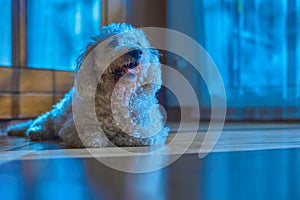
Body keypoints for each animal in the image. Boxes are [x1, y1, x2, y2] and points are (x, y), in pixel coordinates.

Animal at [6, 23, 169, 148]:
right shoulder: (73, 127)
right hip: (58, 114)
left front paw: (121, 137)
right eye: (113, 43)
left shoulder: (151, 127)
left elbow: (139, 134)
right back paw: (35, 131)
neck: (118, 94)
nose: (137, 52)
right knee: (45, 121)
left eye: (139, 43)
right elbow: (92, 137)